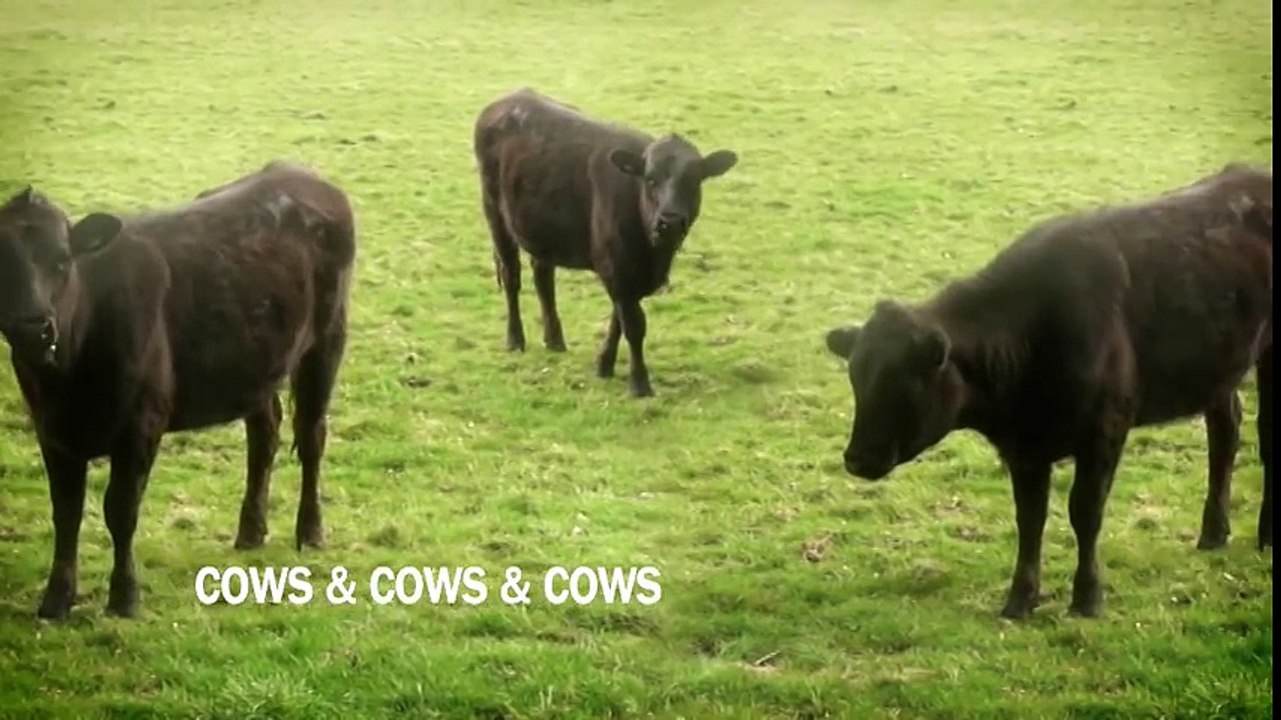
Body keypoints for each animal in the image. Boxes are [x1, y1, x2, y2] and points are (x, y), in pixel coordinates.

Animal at [0, 160, 355, 619]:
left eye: (62, 260)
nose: (34, 328)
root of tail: (300, 172)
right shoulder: (52, 432)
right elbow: (66, 512)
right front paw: (56, 599)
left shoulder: (141, 425)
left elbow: (121, 510)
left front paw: (125, 597)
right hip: (257, 361)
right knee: (265, 435)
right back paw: (250, 531)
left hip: (326, 341)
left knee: (311, 436)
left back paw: (310, 531)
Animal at [473, 87, 738, 397]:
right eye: (650, 179)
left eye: (695, 181)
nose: (670, 222)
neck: (653, 255)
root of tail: (509, 98)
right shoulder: (617, 268)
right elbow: (634, 324)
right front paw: (639, 383)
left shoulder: (627, 275)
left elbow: (618, 321)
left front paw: (604, 365)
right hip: (495, 213)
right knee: (511, 276)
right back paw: (515, 339)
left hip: (541, 229)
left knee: (543, 278)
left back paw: (554, 339)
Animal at [823, 163, 1272, 620]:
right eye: (856, 378)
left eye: (903, 383)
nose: (856, 459)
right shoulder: (1025, 450)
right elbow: (1030, 518)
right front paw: (1020, 600)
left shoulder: (1104, 430)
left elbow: (1085, 512)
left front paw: (1087, 597)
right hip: (1220, 368)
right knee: (1225, 434)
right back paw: (1213, 534)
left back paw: (1264, 536)